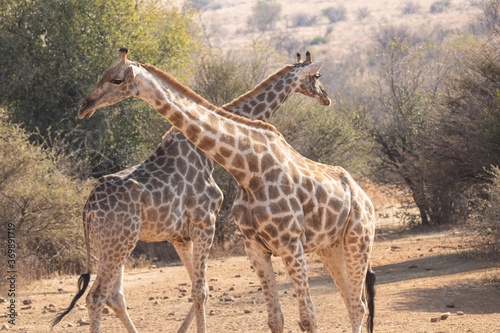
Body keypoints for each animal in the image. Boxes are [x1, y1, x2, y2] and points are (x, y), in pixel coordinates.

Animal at [71, 48, 376, 332]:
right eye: (317, 76)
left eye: (116, 78)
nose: (84, 105)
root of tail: (87, 209)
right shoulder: (214, 229)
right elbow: (206, 293)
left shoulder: (192, 233)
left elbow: (201, 291)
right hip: (118, 243)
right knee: (100, 296)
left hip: (351, 241)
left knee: (356, 302)